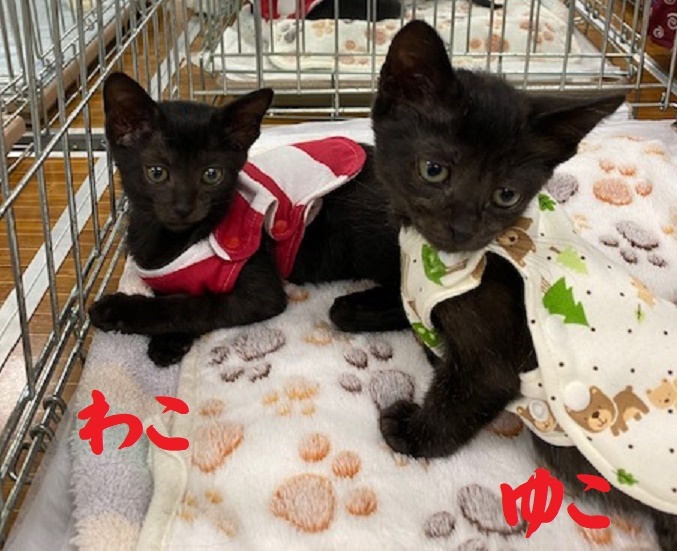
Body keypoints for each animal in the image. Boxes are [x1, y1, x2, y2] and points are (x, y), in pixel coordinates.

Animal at [88, 72, 406, 367]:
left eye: (212, 174)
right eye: (156, 172)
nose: (183, 207)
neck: (174, 241)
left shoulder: (260, 293)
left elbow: (192, 305)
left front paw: (117, 310)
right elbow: (179, 294)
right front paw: (168, 342)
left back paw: (354, 308)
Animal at [367, 20, 676, 550]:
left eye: (506, 195)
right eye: (434, 170)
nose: (463, 228)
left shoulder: (492, 361)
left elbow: (463, 397)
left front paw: (413, 435)